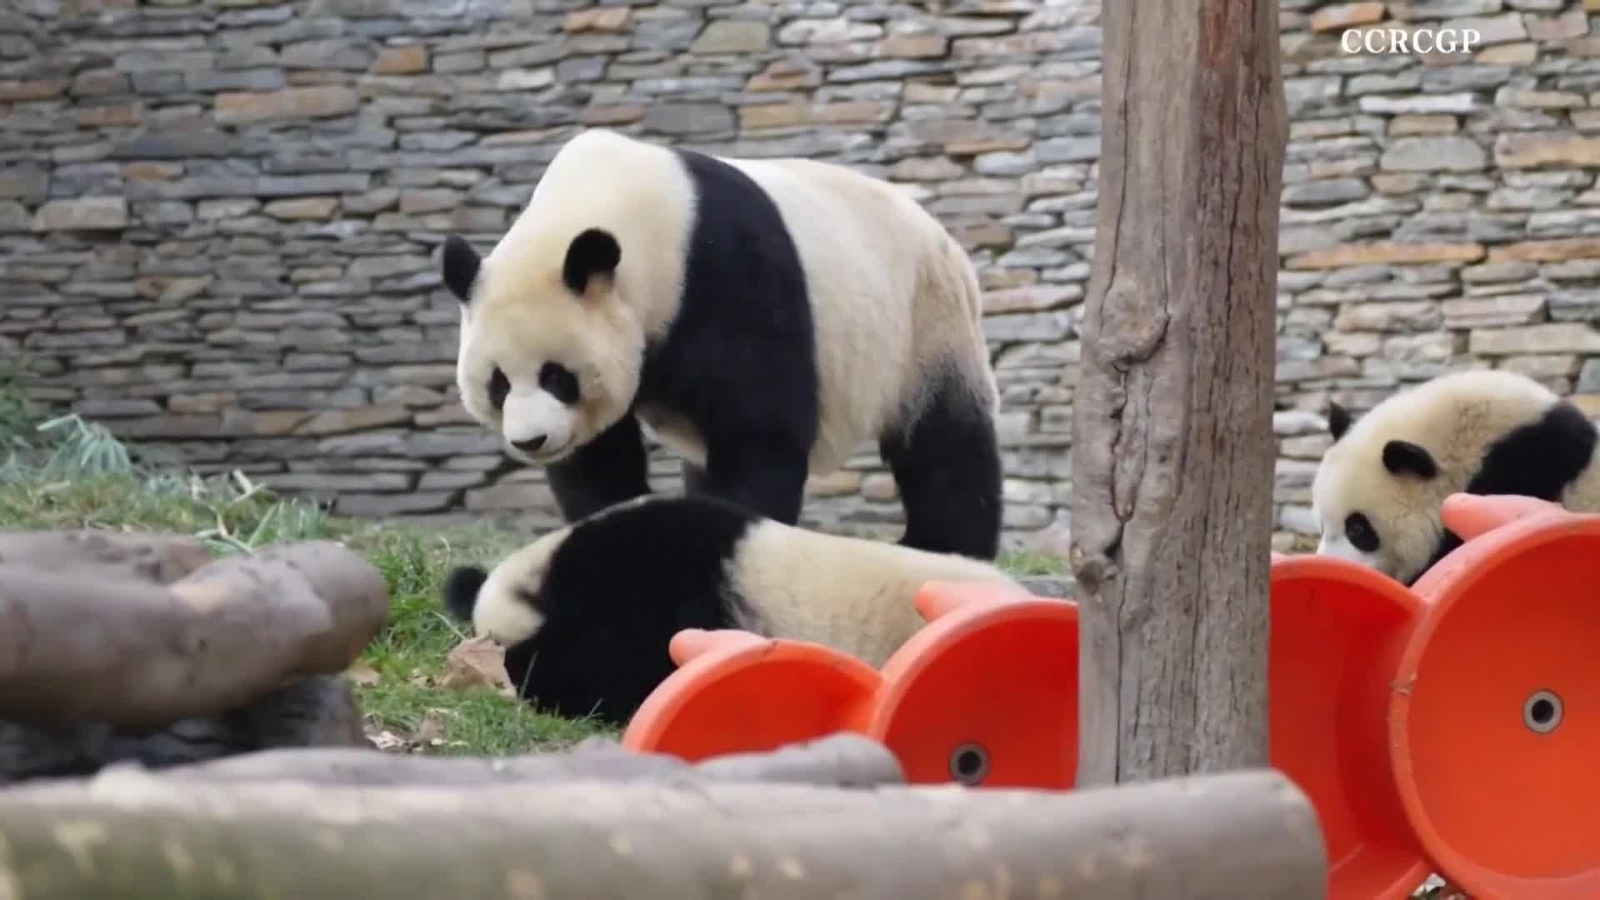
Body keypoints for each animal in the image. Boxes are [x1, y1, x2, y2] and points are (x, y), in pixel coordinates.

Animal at [439, 127, 1002, 561]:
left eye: (558, 376)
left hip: (925, 320)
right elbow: (599, 455)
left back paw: (945, 544)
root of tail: (941, 234)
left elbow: (759, 428)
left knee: (944, 439)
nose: (531, 441)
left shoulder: (727, 274)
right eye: (498, 383)